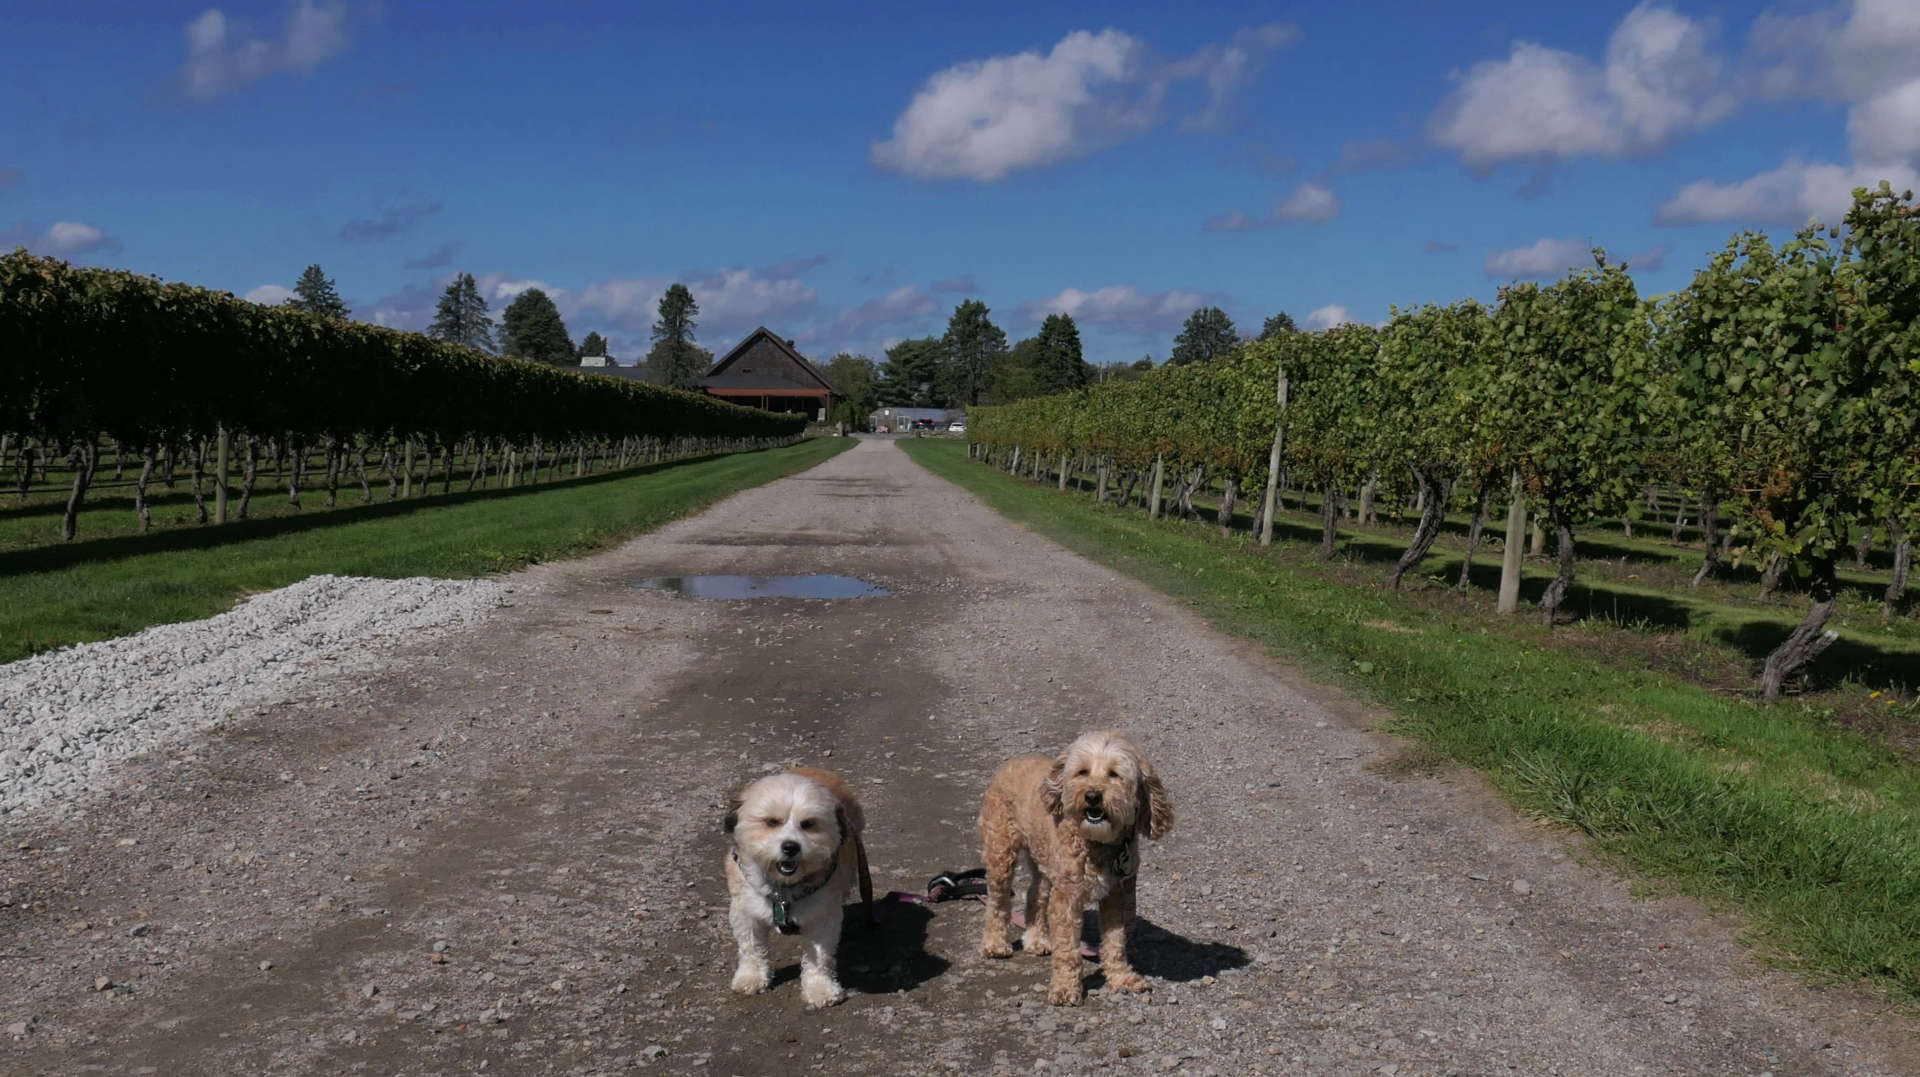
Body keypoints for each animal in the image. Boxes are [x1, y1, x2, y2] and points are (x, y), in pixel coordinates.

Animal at [721, 767, 867, 1005]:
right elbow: (751, 947)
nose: (790, 846)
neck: (783, 889)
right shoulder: (744, 910)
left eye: (808, 824)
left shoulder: (823, 915)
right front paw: (751, 977)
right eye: (771, 822)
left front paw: (820, 988)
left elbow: (820, 955)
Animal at [975, 725, 1167, 1005]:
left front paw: (1121, 978)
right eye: (1082, 771)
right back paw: (994, 944)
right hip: (1001, 851)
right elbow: (1067, 949)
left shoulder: (1117, 895)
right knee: (997, 901)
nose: (1092, 795)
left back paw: (1036, 939)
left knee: (1035, 894)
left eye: (1114, 774)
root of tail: (1013, 762)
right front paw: (1066, 987)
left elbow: (1115, 943)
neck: (1097, 844)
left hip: (1045, 861)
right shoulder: (1067, 898)